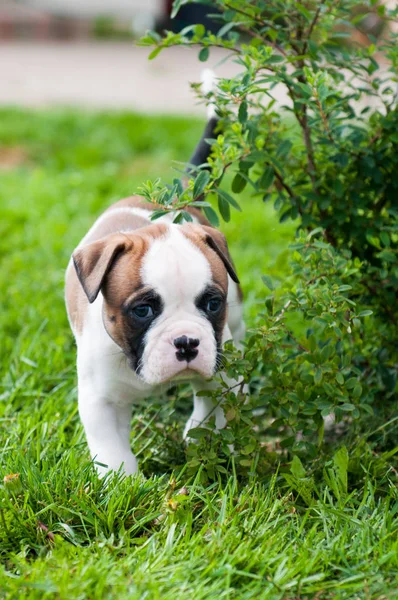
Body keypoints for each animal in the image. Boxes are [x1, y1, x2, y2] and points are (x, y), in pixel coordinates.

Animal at [64, 117, 246, 476]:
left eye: (212, 304)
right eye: (143, 311)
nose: (187, 342)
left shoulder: (219, 373)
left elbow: (215, 408)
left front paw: (203, 437)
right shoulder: (101, 401)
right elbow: (112, 451)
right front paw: (123, 483)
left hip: (234, 323)